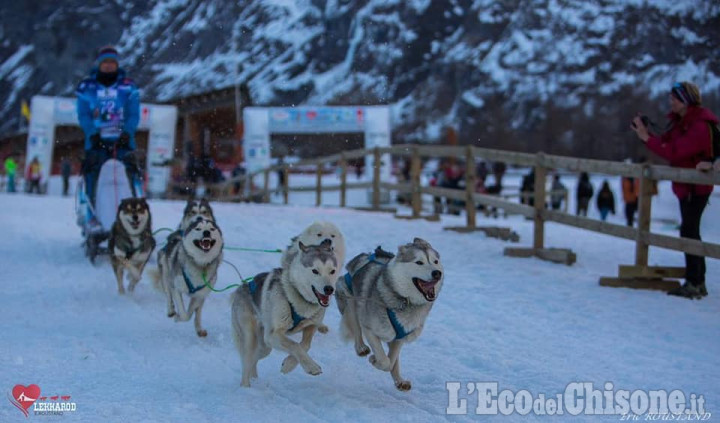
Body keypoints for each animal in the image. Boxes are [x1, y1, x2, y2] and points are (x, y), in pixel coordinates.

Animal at [233, 240, 340, 390]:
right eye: (315, 271)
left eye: (332, 271)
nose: (329, 289)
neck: (300, 301)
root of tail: (240, 287)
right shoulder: (273, 334)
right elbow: (295, 345)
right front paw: (311, 367)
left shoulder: (311, 326)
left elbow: (304, 345)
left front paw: (289, 364)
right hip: (250, 338)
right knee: (247, 361)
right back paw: (246, 387)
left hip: (264, 346)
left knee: (255, 358)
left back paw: (254, 380)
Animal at [334, 237, 442, 392]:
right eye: (419, 262)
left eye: (435, 261)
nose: (437, 273)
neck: (404, 300)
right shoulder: (370, 329)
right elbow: (384, 360)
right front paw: (375, 359)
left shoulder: (399, 337)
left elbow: (391, 361)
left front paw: (385, 367)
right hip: (351, 301)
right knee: (356, 327)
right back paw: (361, 348)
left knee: (393, 360)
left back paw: (400, 381)